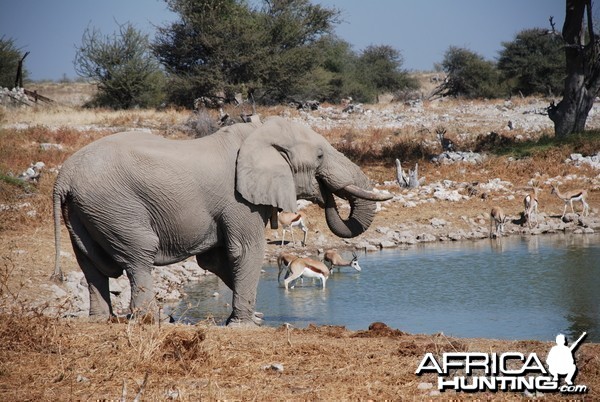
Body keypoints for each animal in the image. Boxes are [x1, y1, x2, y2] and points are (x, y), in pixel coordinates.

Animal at [54, 114, 392, 326]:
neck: (260, 133)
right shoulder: (239, 201)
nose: (327, 194)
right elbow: (245, 252)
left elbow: (215, 261)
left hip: (84, 212)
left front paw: (253, 318)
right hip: (116, 207)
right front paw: (246, 326)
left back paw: (101, 320)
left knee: (90, 263)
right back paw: (155, 320)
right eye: (320, 156)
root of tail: (63, 178)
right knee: (138, 257)